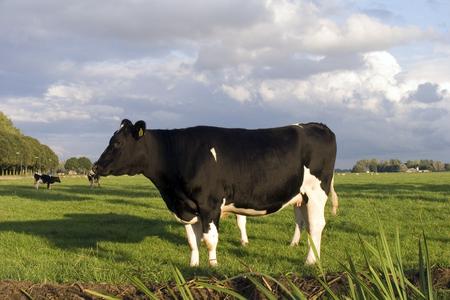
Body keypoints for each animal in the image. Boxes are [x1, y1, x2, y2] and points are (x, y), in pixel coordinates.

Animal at [92, 119, 338, 268]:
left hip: (316, 192)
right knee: (305, 223)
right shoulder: (187, 207)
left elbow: (209, 239)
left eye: (117, 143)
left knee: (316, 225)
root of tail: (316, 125)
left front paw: (212, 267)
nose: (95, 167)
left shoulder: (209, 204)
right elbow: (193, 240)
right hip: (302, 197)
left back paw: (311, 262)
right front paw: (193, 266)